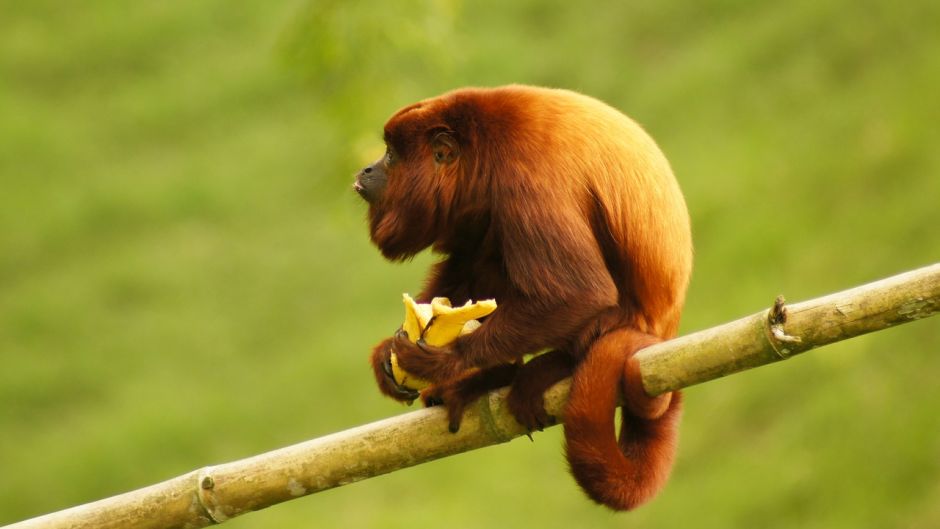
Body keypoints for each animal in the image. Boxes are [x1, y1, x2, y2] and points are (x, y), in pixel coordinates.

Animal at [352, 84, 692, 510]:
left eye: (391, 155)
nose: (366, 169)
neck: (480, 152)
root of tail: (664, 328)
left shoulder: (524, 175)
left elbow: (581, 291)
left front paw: (445, 362)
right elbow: (464, 264)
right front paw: (388, 353)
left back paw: (549, 366)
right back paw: (493, 376)